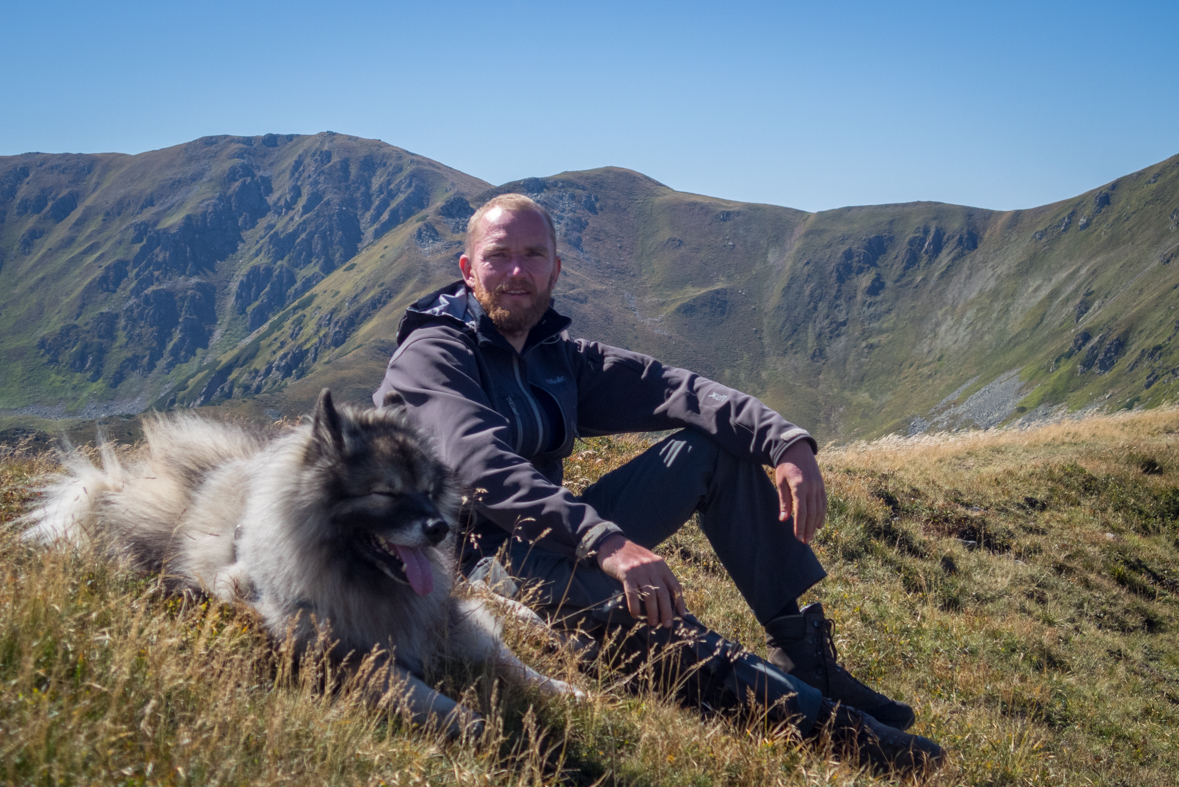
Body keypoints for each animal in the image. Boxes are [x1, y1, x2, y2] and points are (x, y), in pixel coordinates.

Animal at [22, 386, 580, 739]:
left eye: (427, 489)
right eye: (385, 493)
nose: (439, 528)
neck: (358, 580)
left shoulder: (441, 618)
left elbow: (505, 657)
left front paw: (567, 689)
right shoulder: (342, 656)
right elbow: (425, 694)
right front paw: (478, 726)